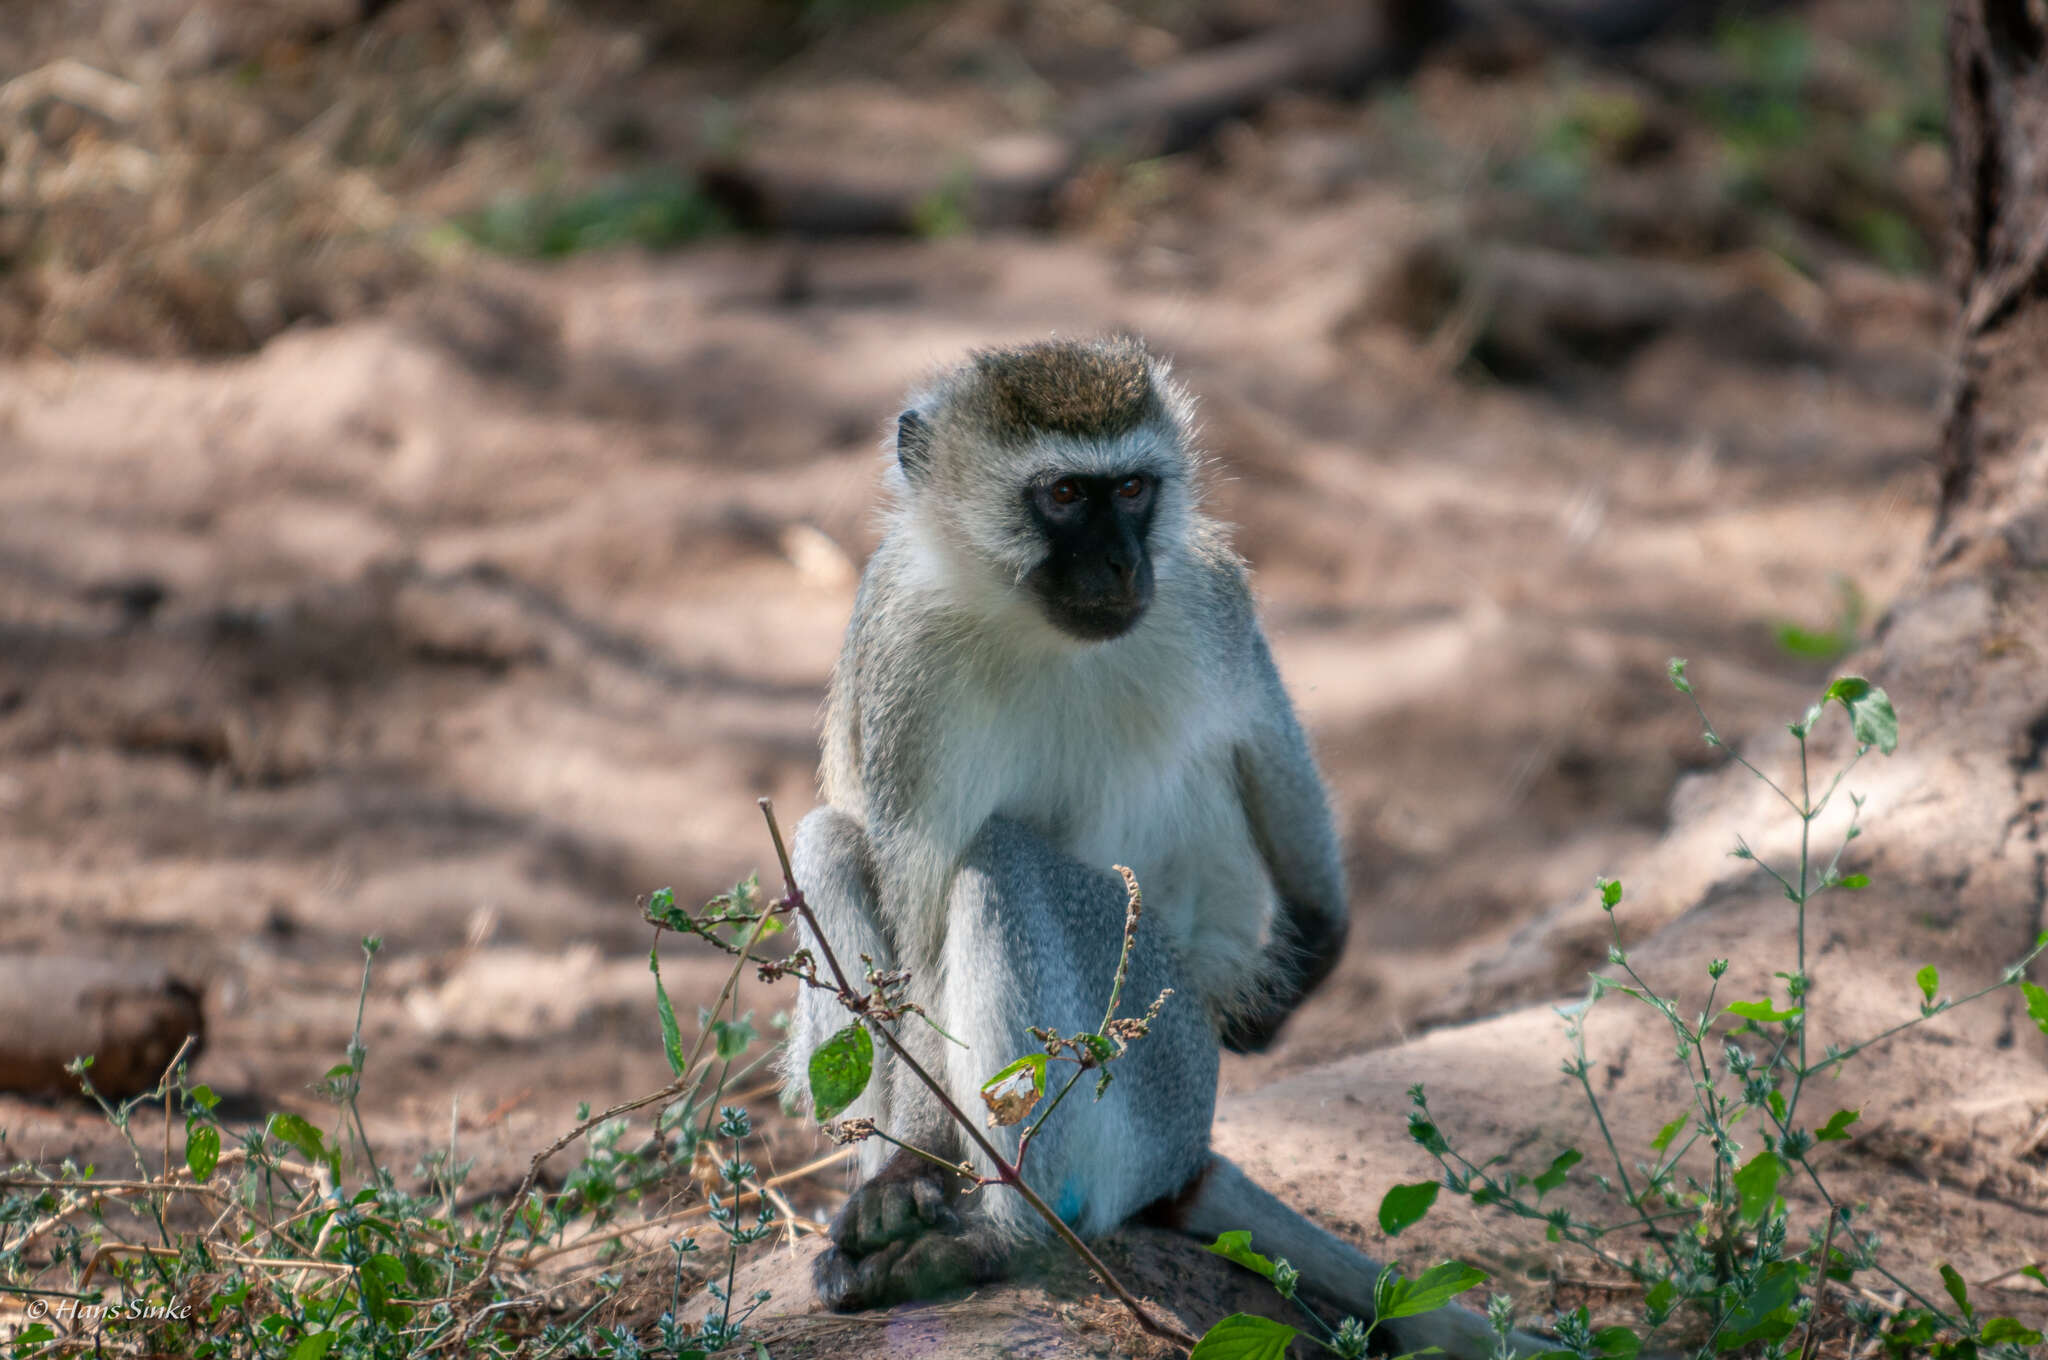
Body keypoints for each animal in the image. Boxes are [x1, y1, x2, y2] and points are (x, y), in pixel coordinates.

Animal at [778, 340, 1540, 1360]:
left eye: (1134, 489)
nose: (1119, 560)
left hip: (1159, 1069)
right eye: (1065, 495)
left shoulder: (1209, 591)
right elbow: (915, 905)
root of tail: (1188, 1158)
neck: (1030, 625)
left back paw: (1000, 1236)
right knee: (832, 840)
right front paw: (906, 1177)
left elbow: (1269, 743)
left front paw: (1313, 945)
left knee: (1000, 864)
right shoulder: (901, 659)